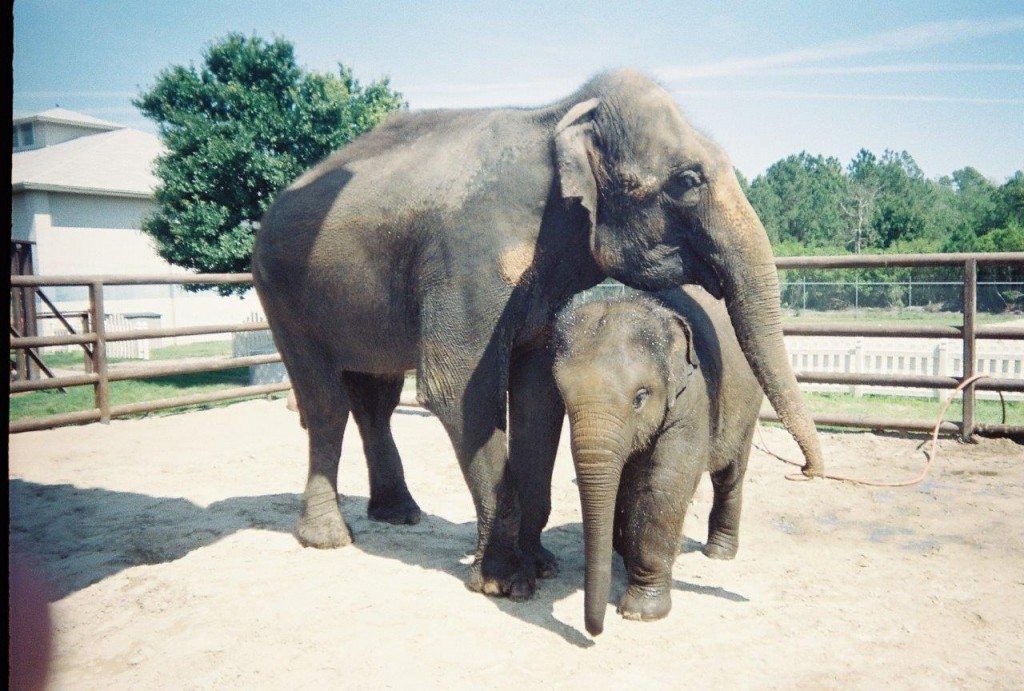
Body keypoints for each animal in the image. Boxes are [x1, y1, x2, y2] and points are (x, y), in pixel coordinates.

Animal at [253, 67, 823, 601]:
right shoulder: (468, 259)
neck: (556, 118)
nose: (806, 471)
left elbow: (537, 398)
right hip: (280, 292)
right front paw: (504, 582)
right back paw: (328, 537)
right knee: (325, 401)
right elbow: (457, 393)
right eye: (687, 180)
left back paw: (400, 514)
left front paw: (541, 565)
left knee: (376, 397)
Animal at [552, 286, 761, 638]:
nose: (595, 631)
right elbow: (625, 485)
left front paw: (641, 612)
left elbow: (662, 486)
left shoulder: (692, 398)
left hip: (748, 407)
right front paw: (623, 553)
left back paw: (719, 553)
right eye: (563, 398)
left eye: (639, 398)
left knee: (730, 473)